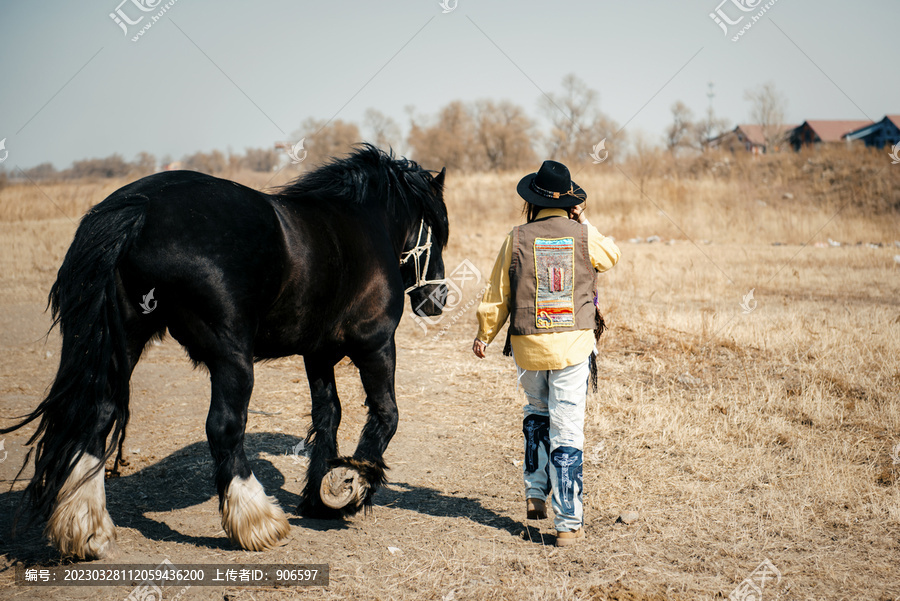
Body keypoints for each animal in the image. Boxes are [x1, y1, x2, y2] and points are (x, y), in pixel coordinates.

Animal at [0, 144, 450, 556]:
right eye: (438, 230)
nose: (439, 298)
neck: (360, 224)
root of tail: (139, 206)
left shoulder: (317, 354)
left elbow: (328, 416)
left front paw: (320, 499)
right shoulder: (376, 344)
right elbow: (386, 415)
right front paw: (353, 485)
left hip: (119, 345)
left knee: (97, 416)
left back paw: (85, 528)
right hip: (232, 358)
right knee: (224, 427)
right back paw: (256, 520)